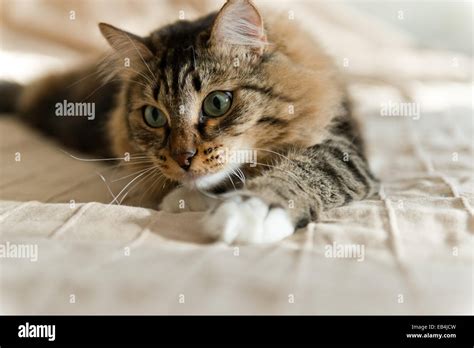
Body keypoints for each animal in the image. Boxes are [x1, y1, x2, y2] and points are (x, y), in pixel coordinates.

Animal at [0, 0, 378, 243]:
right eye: (154, 115)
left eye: (217, 103)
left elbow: (303, 171)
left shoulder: (342, 146)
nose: (183, 158)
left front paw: (250, 211)